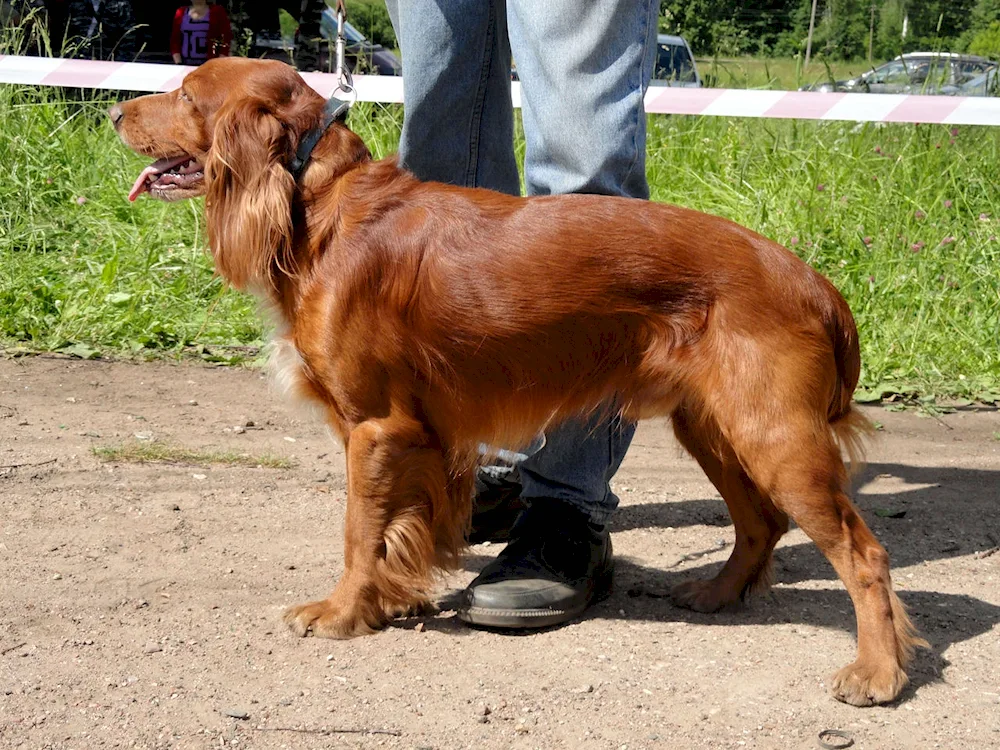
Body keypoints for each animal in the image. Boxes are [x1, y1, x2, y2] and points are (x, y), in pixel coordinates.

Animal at [107, 60, 920, 712]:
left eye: (186, 93)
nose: (114, 113)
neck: (322, 201)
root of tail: (812, 280)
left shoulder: (376, 428)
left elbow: (358, 532)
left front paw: (340, 613)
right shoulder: (415, 436)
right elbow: (400, 528)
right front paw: (390, 601)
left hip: (774, 433)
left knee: (863, 554)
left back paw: (877, 674)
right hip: (713, 426)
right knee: (761, 522)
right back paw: (716, 595)